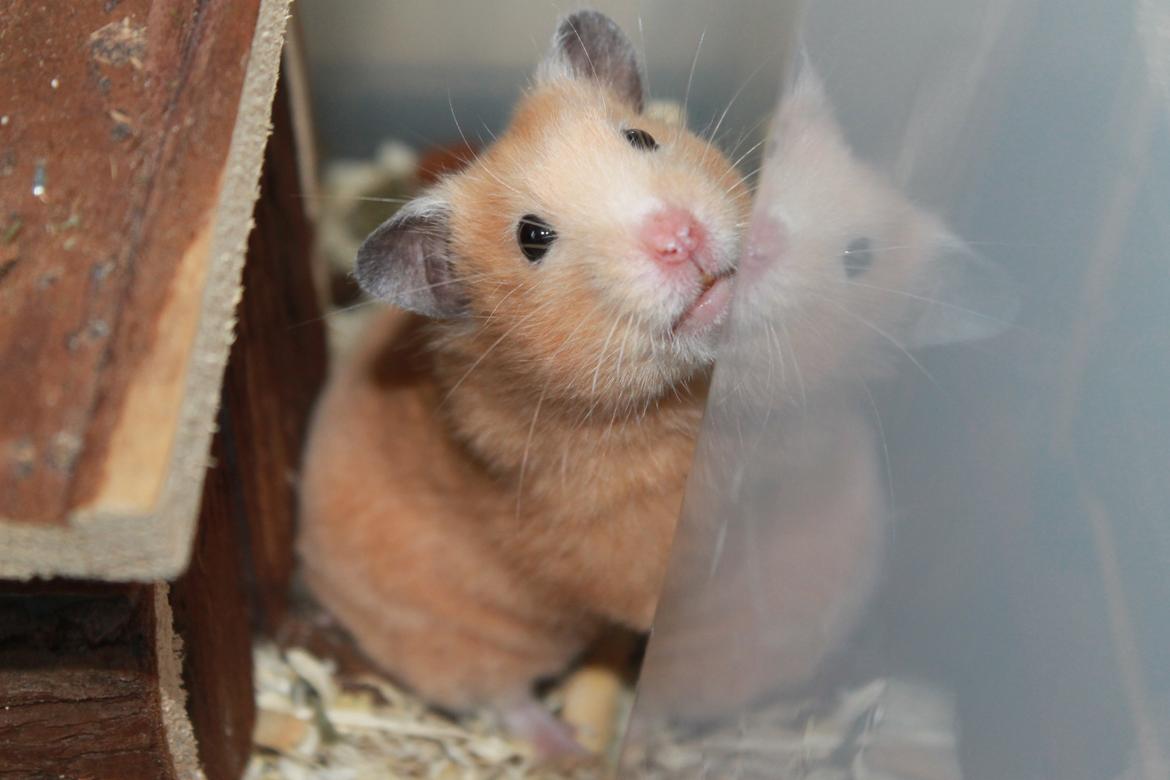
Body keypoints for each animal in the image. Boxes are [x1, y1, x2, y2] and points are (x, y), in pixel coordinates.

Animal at [298, 10, 749, 754]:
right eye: (532, 237)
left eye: (641, 137)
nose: (679, 237)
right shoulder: (617, 541)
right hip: (462, 642)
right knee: (502, 699)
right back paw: (570, 745)